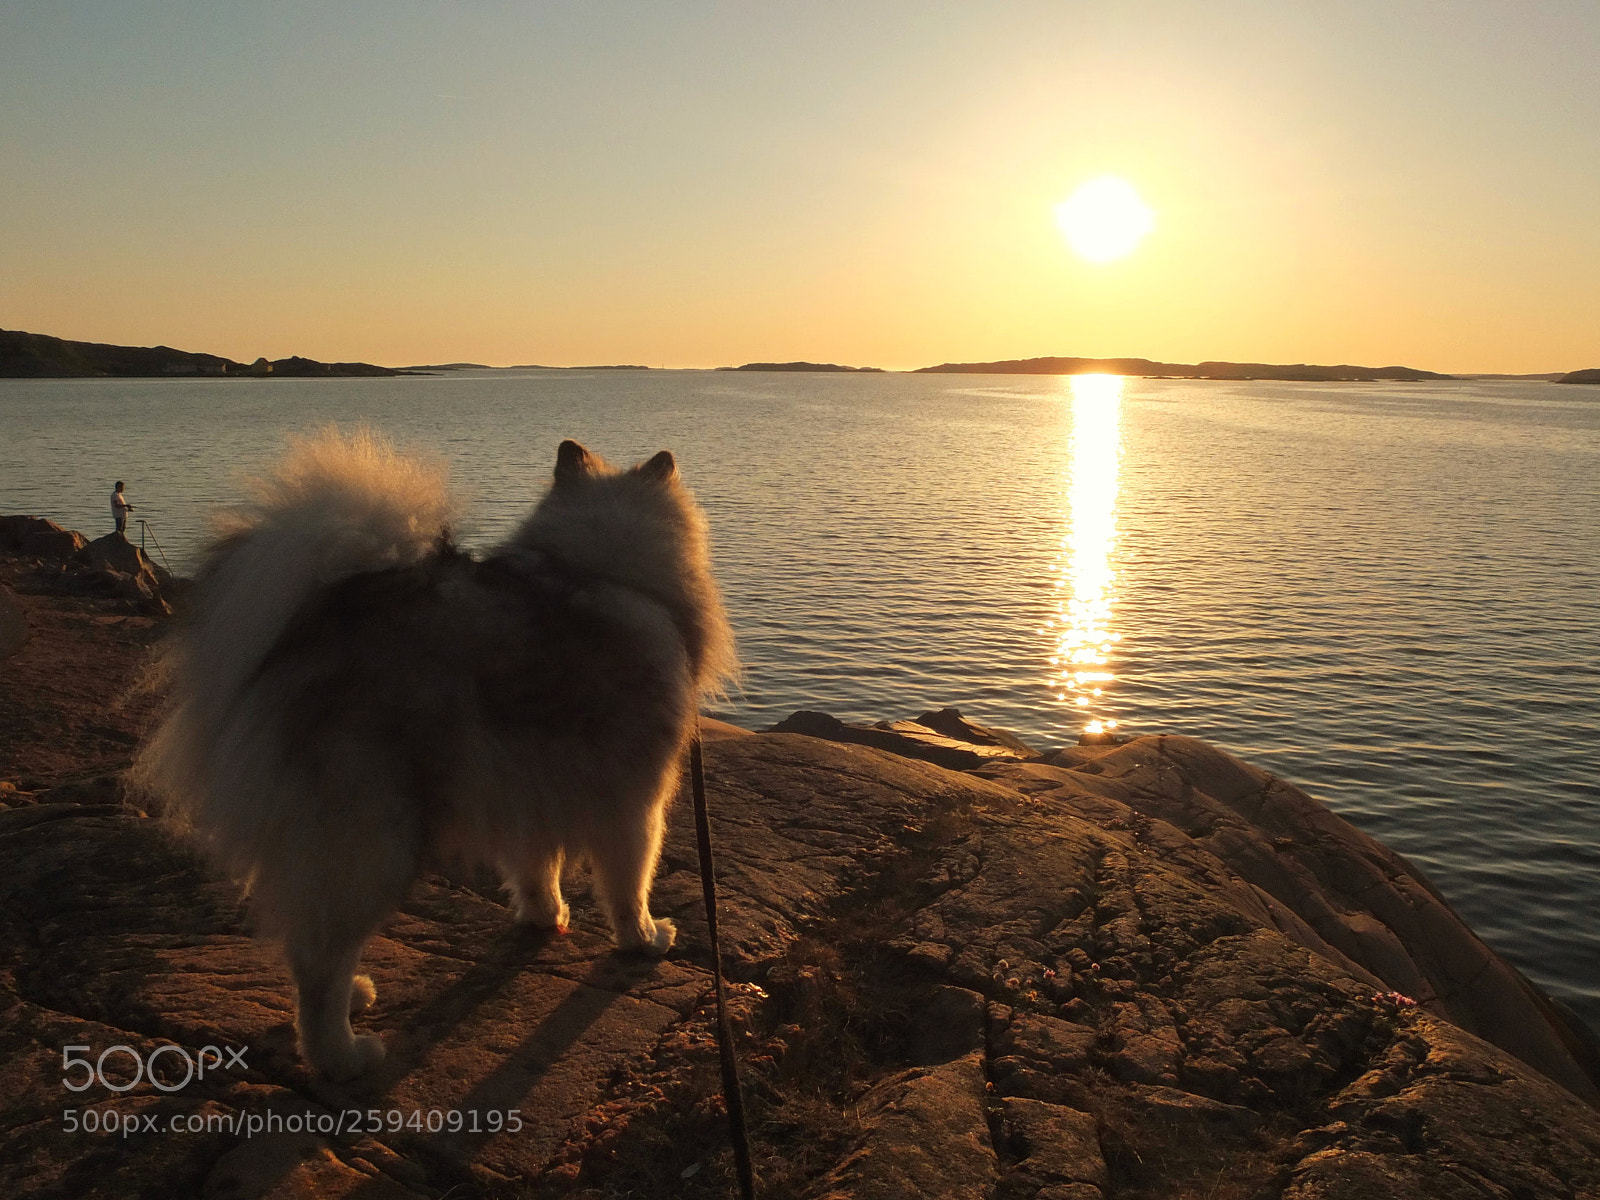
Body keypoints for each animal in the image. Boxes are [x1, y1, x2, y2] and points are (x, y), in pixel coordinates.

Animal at [137, 432, 736, 1081]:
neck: (602, 573)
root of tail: (308, 630)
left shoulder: (528, 790)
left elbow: (536, 869)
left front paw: (546, 916)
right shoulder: (634, 804)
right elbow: (631, 885)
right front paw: (646, 939)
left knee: (306, 944)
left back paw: (352, 1000)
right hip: (375, 842)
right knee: (321, 959)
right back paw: (341, 1053)